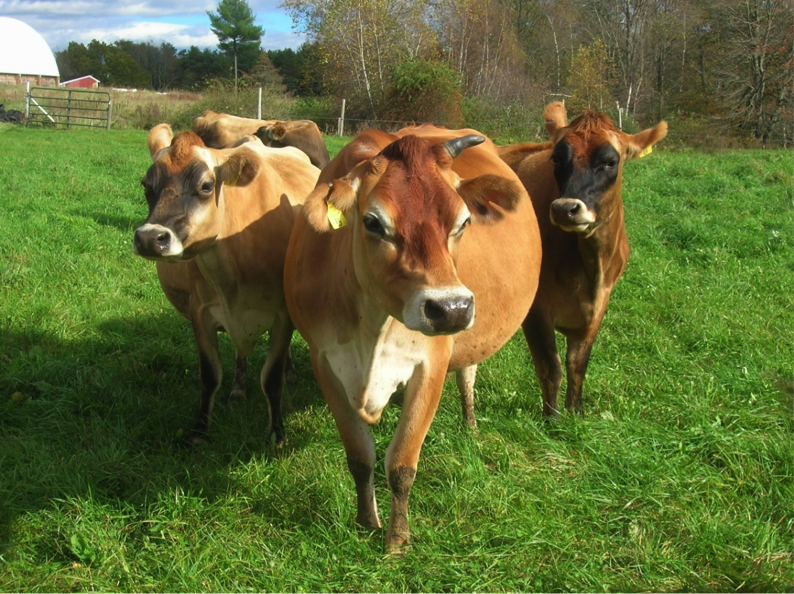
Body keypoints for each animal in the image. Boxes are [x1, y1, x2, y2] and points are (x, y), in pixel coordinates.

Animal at [133, 123, 320, 443]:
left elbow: (272, 378)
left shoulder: (283, 314)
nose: (149, 238)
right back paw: (238, 388)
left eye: (207, 186)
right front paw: (199, 429)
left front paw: (277, 432)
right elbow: (209, 375)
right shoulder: (200, 311)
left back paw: (290, 373)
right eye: (147, 186)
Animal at [284, 124, 542, 550]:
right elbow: (359, 456)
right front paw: (365, 522)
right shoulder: (324, 360)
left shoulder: (431, 364)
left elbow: (402, 463)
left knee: (467, 373)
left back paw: (470, 424)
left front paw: (396, 540)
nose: (451, 307)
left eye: (463, 222)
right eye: (373, 222)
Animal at [496, 102, 667, 419]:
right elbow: (551, 367)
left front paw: (576, 411)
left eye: (610, 161)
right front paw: (551, 418)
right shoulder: (535, 307)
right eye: (556, 158)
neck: (590, 268)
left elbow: (578, 363)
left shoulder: (601, 304)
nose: (565, 209)